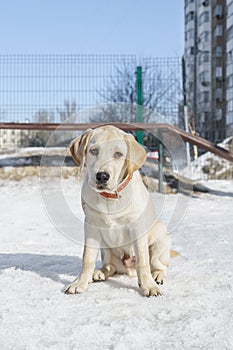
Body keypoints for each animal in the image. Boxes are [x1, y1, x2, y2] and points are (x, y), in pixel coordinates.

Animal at [65, 124, 171, 296]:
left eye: (118, 154)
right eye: (93, 151)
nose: (102, 176)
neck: (110, 197)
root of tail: (128, 270)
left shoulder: (137, 226)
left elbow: (142, 260)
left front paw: (148, 286)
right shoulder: (91, 226)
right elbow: (87, 258)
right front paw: (80, 282)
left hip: (161, 238)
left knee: (159, 265)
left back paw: (157, 276)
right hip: (105, 247)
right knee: (111, 266)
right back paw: (99, 272)